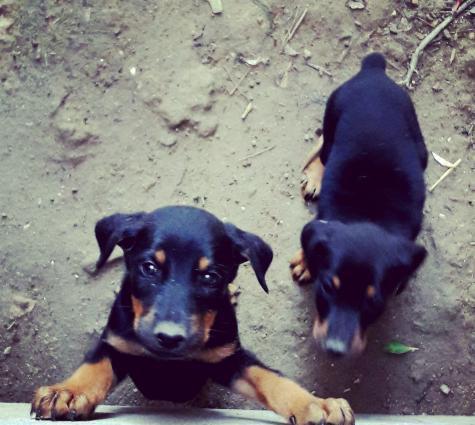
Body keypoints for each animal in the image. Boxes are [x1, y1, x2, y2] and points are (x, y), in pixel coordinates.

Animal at [31, 206, 353, 424]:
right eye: (149, 268)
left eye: (210, 277)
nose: (169, 338)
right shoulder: (116, 345)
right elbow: (94, 367)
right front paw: (67, 392)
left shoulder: (228, 359)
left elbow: (270, 377)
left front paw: (315, 404)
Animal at [290, 53, 428, 357]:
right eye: (327, 287)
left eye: (373, 301)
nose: (335, 349)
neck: (369, 217)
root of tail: (374, 69)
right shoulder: (321, 222)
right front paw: (306, 263)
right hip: (333, 116)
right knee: (324, 146)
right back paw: (315, 176)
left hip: (419, 142)